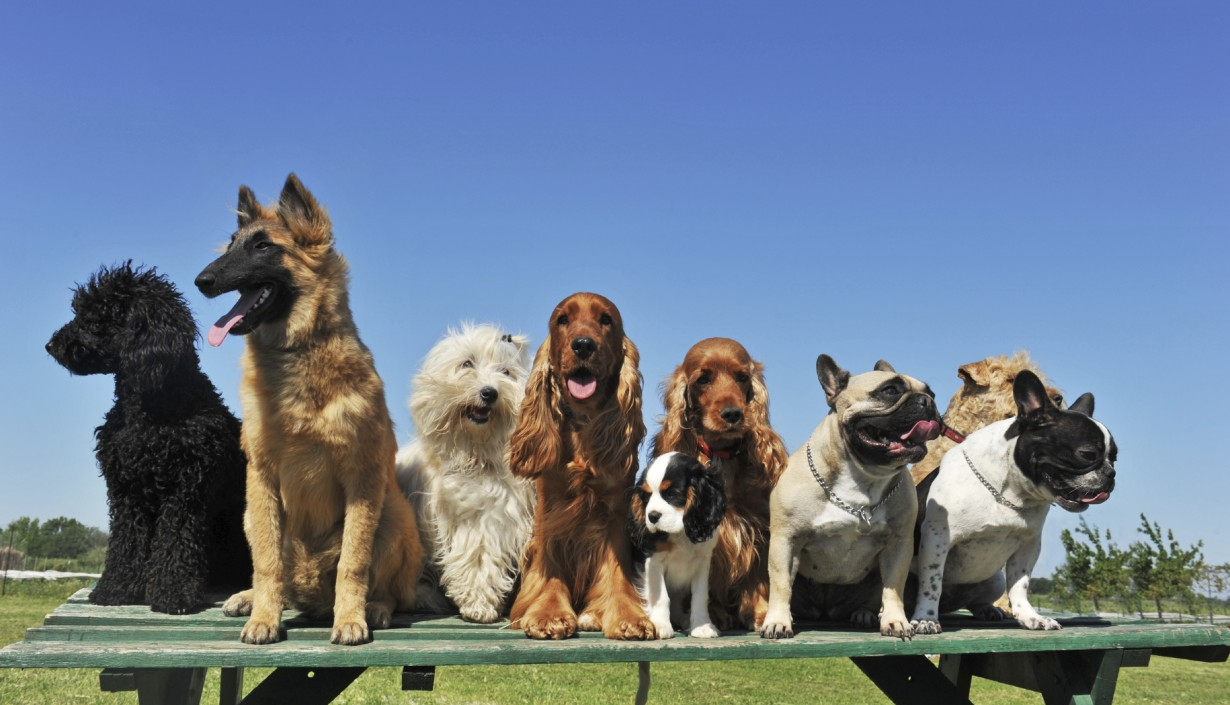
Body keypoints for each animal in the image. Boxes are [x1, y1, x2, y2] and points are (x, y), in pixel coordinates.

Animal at [193, 174, 423, 644]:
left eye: (263, 246)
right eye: (232, 245)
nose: (201, 280)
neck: (298, 353)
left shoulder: (363, 479)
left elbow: (354, 562)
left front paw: (349, 617)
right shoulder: (261, 479)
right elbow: (267, 564)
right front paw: (263, 618)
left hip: (394, 515)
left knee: (388, 588)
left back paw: (374, 608)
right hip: (251, 514)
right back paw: (251, 599)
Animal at [396, 324, 536, 620]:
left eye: (506, 372)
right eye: (467, 363)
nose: (489, 393)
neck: (474, 452)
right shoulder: (473, 519)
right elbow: (477, 556)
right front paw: (479, 604)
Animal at [506, 290, 654, 639]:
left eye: (606, 320)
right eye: (563, 319)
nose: (583, 344)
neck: (584, 422)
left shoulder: (614, 511)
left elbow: (616, 569)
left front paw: (627, 616)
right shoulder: (551, 509)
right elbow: (550, 567)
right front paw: (547, 613)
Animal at [629, 450, 723, 639]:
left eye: (672, 494)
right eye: (646, 497)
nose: (652, 516)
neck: (681, 531)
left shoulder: (702, 562)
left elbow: (700, 596)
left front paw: (701, 626)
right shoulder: (653, 561)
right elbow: (661, 596)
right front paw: (660, 625)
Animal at [654, 334, 787, 627]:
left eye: (742, 377)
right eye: (703, 379)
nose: (733, 414)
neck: (722, 455)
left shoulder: (758, 524)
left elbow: (758, 575)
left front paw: (760, 613)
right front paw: (713, 614)